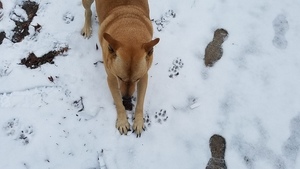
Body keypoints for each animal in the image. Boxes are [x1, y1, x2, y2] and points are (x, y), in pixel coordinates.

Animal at [79, 0, 159, 137]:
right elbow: (118, 103)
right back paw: (87, 27)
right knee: (87, 11)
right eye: (119, 77)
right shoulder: (111, 79)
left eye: (137, 79)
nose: (126, 98)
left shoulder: (144, 76)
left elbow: (140, 103)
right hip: (87, 2)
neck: (129, 30)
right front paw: (122, 121)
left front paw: (138, 121)